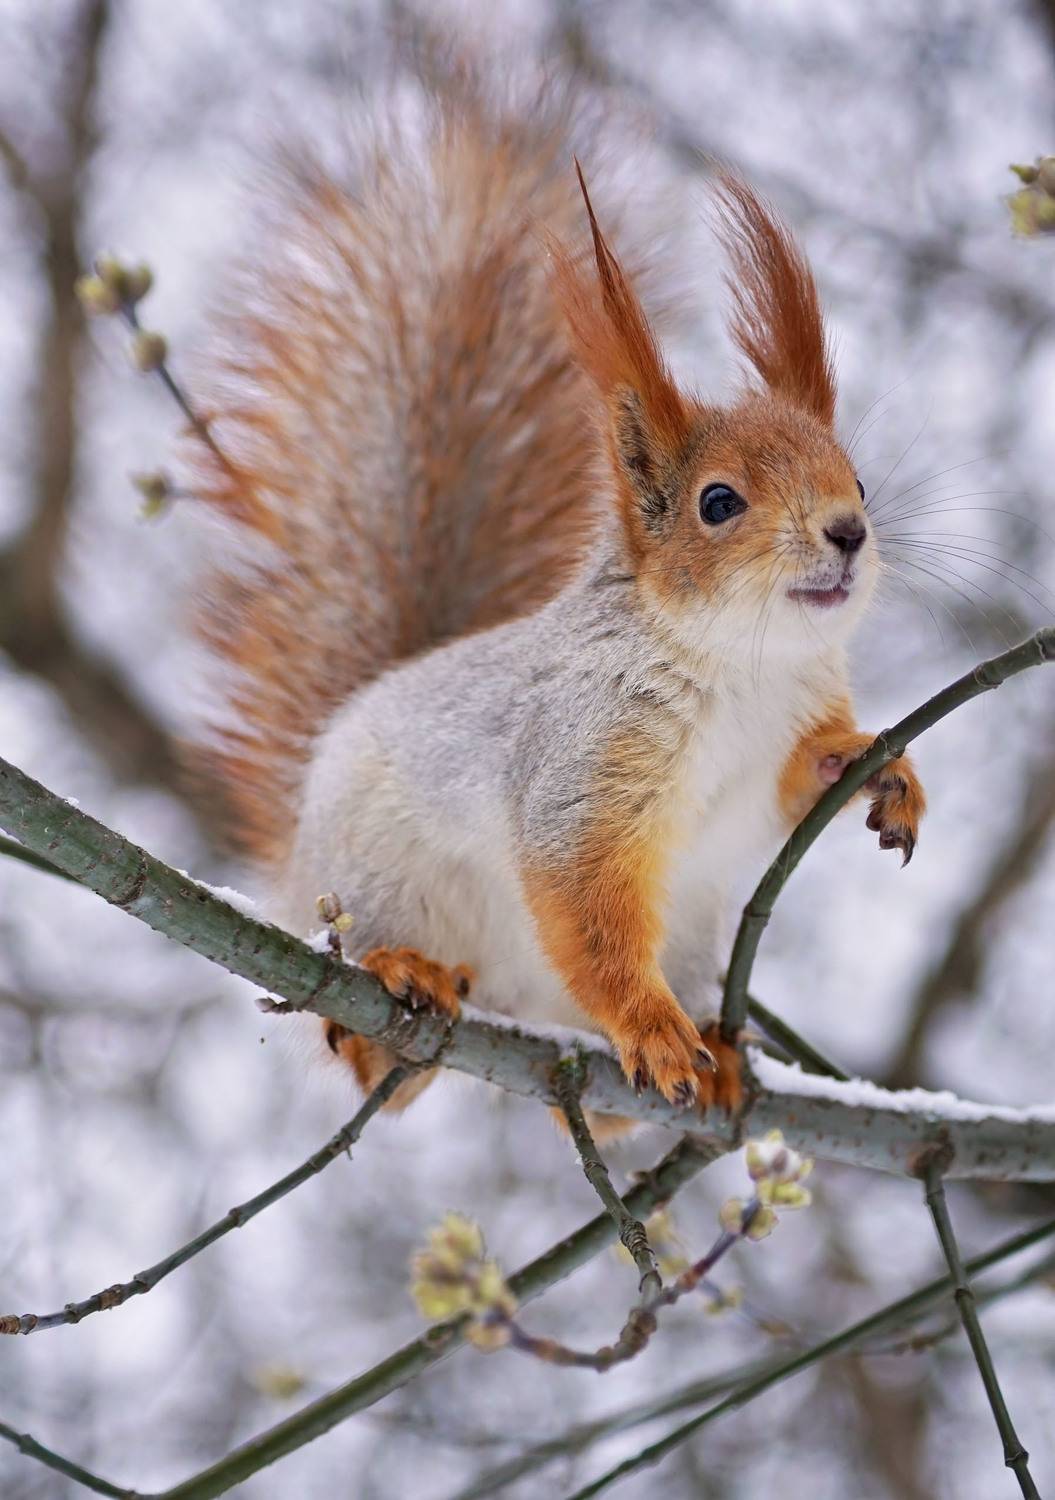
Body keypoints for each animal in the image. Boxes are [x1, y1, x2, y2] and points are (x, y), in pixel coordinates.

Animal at [191, 76, 926, 1120]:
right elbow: (584, 903)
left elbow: (794, 784)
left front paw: (877, 769)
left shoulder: (779, 731)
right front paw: (649, 1028)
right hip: (377, 881)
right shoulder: (582, 762)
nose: (848, 533)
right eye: (718, 503)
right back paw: (402, 985)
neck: (741, 662)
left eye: (856, 480)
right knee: (373, 1052)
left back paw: (700, 1062)